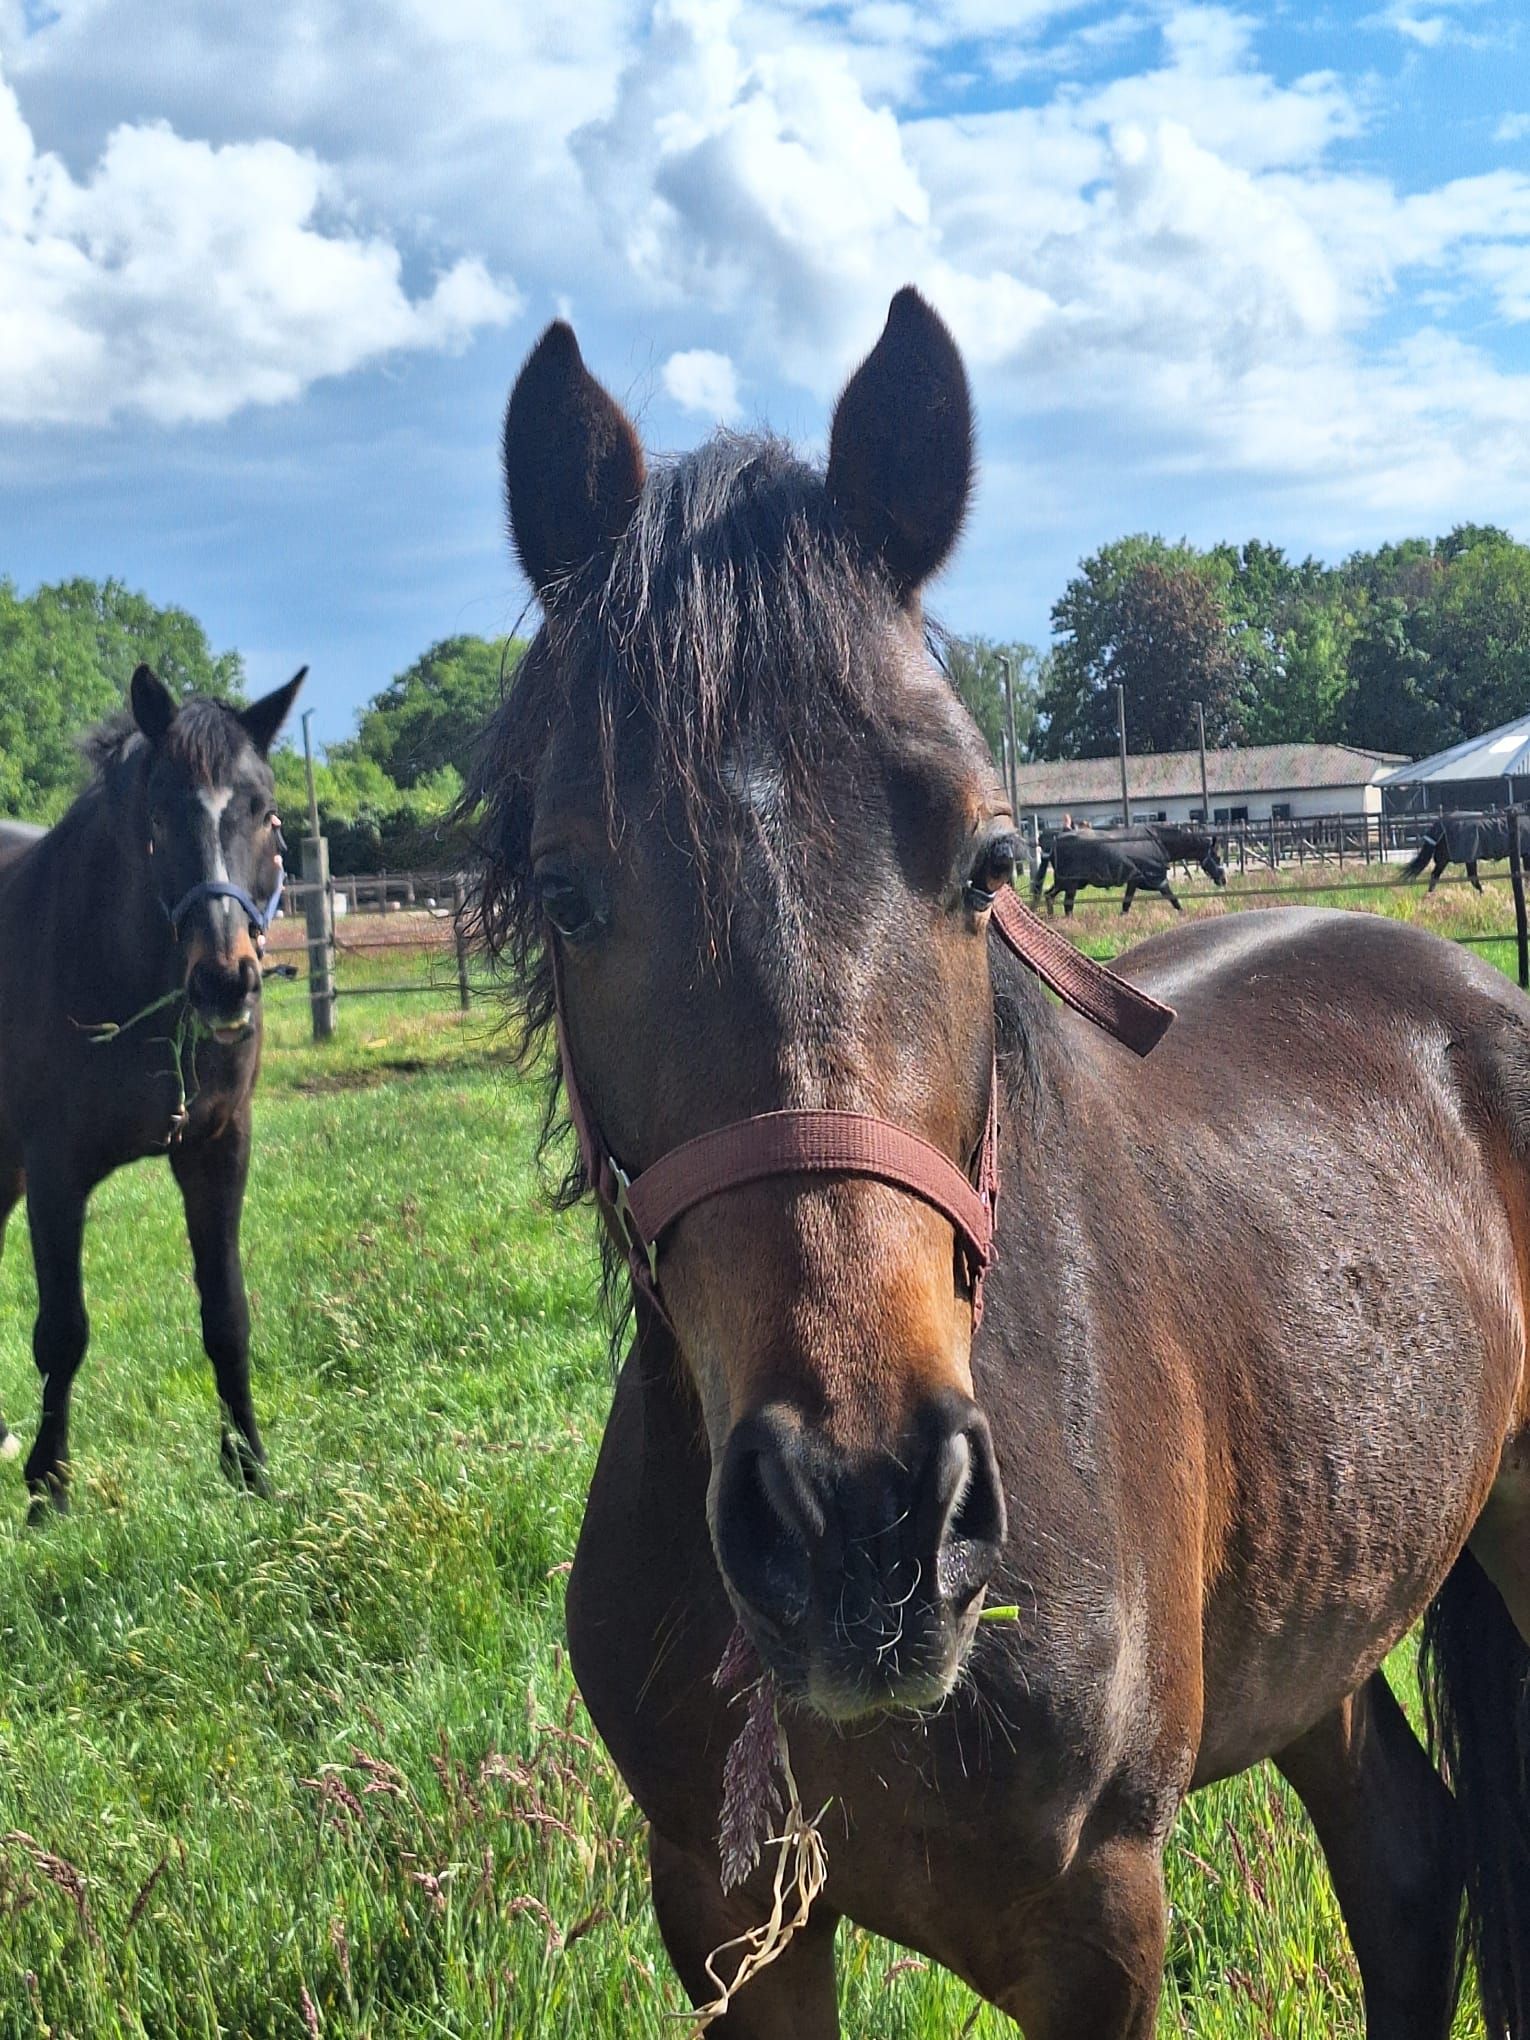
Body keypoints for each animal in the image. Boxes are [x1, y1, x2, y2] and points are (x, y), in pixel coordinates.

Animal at [0, 665, 303, 1512]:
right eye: (159, 815)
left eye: (265, 812)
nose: (226, 980)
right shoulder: (55, 1170)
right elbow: (62, 1330)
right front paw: (47, 1488)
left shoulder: (216, 1148)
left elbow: (227, 1314)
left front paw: (251, 1469)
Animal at [1032, 822, 1226, 916]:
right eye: (1217, 857)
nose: (1223, 880)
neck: (1158, 843)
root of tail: (1054, 842)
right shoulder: (1158, 880)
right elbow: (1175, 901)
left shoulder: (1133, 883)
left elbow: (1126, 905)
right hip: (1070, 884)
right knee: (1065, 905)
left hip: (1069, 883)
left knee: (1049, 896)